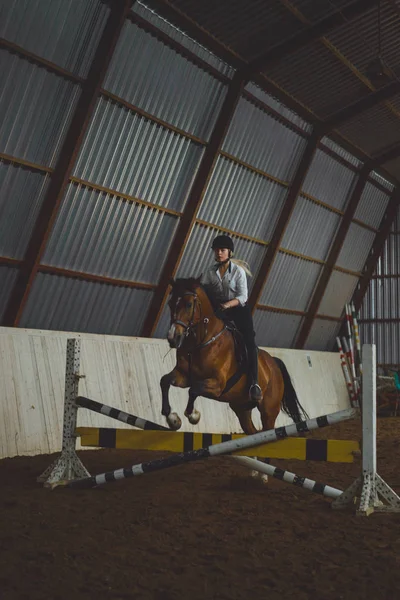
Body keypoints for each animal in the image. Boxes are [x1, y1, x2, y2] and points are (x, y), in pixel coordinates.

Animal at [161, 276, 308, 436]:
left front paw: (193, 415)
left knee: (267, 427)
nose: (173, 337)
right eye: (170, 303)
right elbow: (165, 381)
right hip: (241, 408)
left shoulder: (217, 385)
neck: (201, 342)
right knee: (253, 431)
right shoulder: (183, 376)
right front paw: (171, 418)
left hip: (268, 411)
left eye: (188, 304)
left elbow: (193, 389)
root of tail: (274, 363)